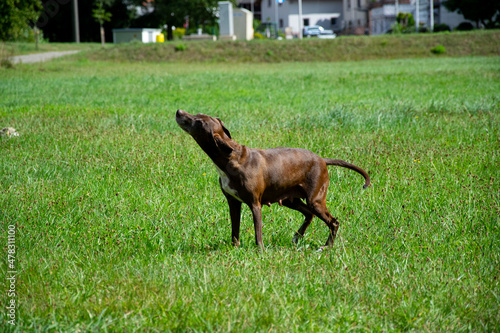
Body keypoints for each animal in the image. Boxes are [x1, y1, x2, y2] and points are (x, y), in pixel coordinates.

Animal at [176, 110, 372, 250]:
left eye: (199, 122)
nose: (179, 111)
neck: (230, 158)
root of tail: (322, 160)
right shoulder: (233, 202)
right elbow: (235, 230)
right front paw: (234, 248)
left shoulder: (255, 204)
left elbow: (258, 232)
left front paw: (260, 251)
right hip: (291, 200)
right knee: (308, 215)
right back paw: (297, 237)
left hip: (315, 200)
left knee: (333, 222)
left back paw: (326, 247)